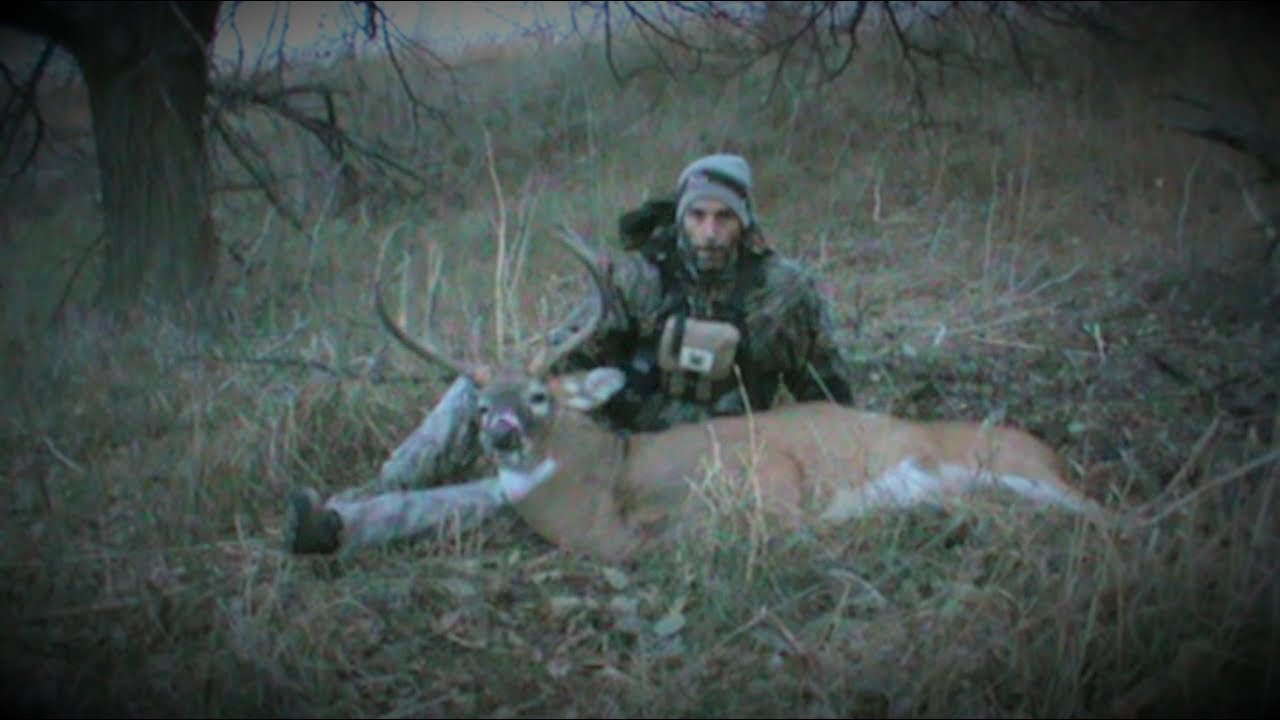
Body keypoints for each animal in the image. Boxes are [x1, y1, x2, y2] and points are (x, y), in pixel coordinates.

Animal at [374, 229, 1114, 562]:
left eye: (537, 396)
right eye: (478, 408)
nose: (501, 431)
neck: (609, 493)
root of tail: (1050, 450)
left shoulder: (762, 467)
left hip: (1017, 469)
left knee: (1110, 512)